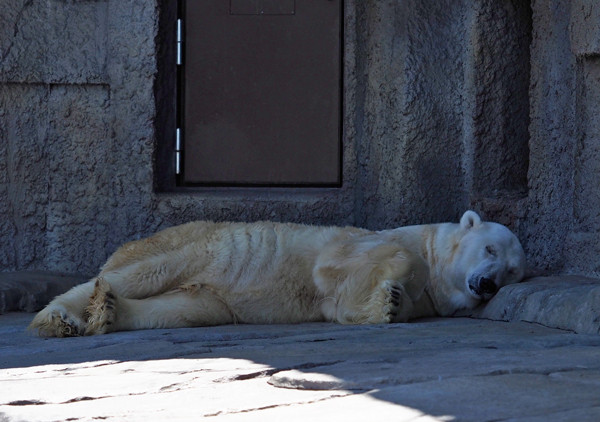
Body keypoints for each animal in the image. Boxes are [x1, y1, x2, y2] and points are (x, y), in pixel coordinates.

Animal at [30, 210, 524, 336]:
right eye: (489, 248)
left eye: (512, 272)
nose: (487, 283)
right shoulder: (357, 244)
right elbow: (343, 267)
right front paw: (386, 295)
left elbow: (339, 305)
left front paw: (383, 304)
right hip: (198, 244)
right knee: (145, 274)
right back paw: (57, 318)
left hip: (210, 289)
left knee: (184, 308)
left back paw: (111, 312)